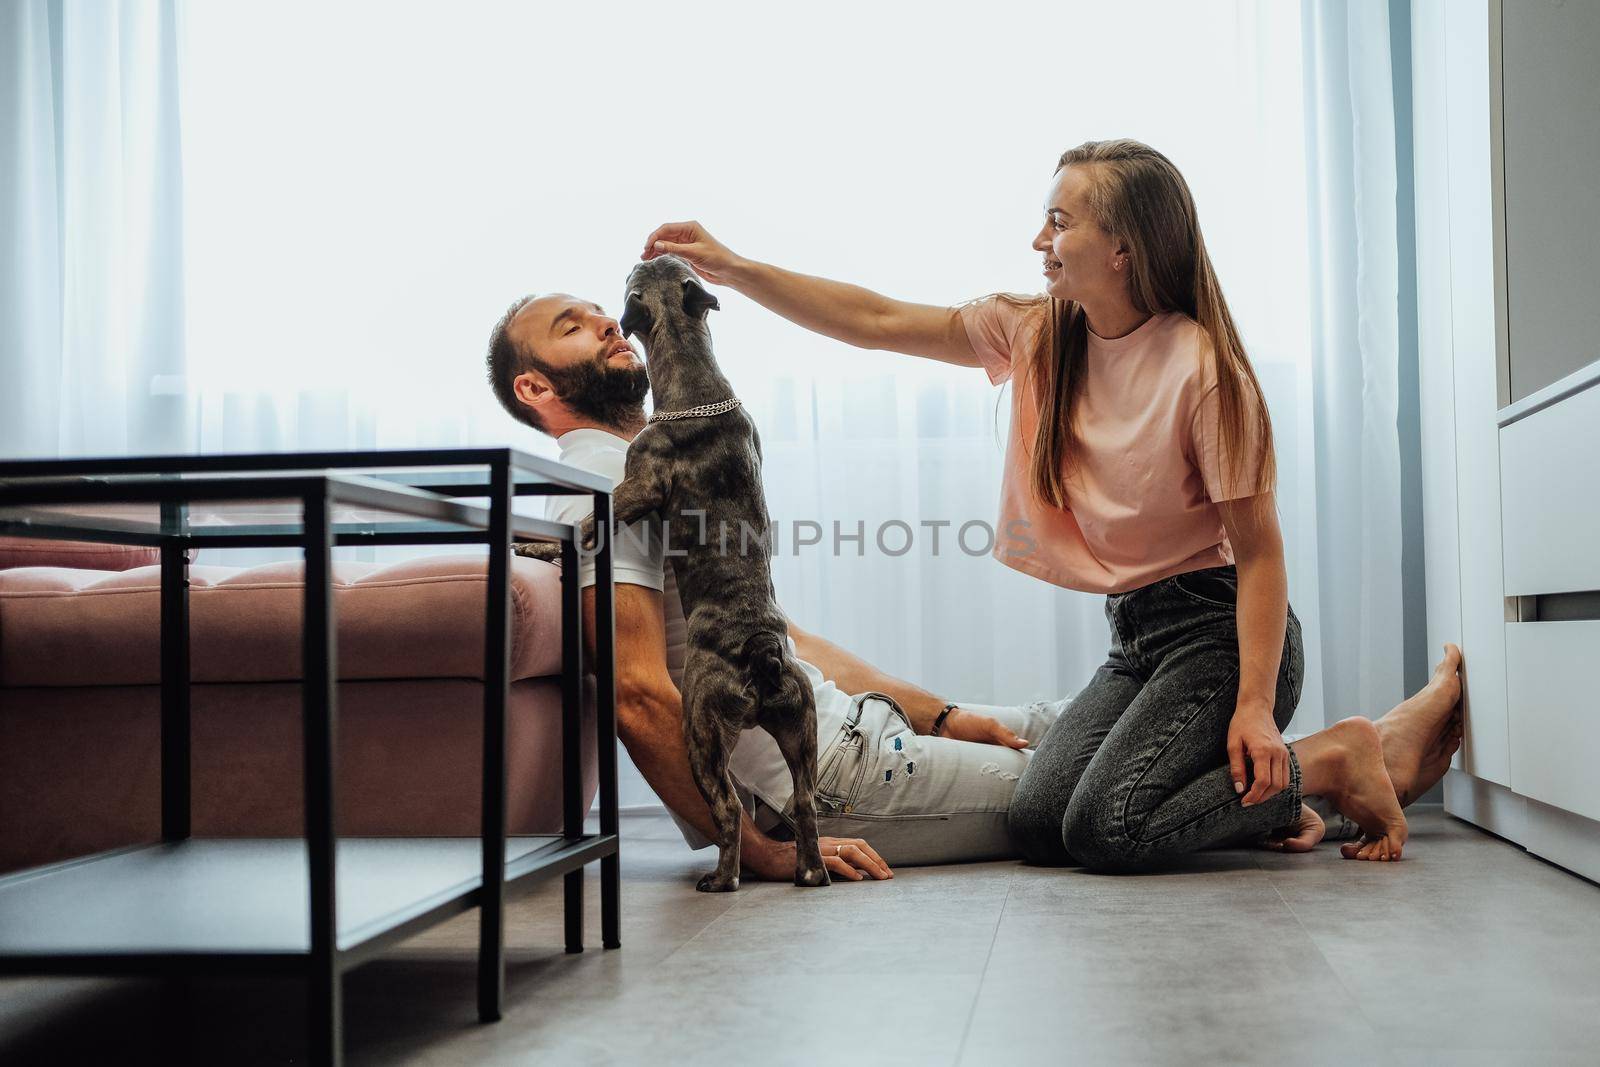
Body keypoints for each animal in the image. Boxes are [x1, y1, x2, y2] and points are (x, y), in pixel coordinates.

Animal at [566, 255, 825, 895]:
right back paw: (811, 873)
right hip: (800, 724)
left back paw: (722, 879)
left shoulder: (636, 488)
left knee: (728, 807)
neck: (697, 382)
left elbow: (586, 523)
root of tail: (761, 652)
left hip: (701, 732)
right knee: (806, 801)